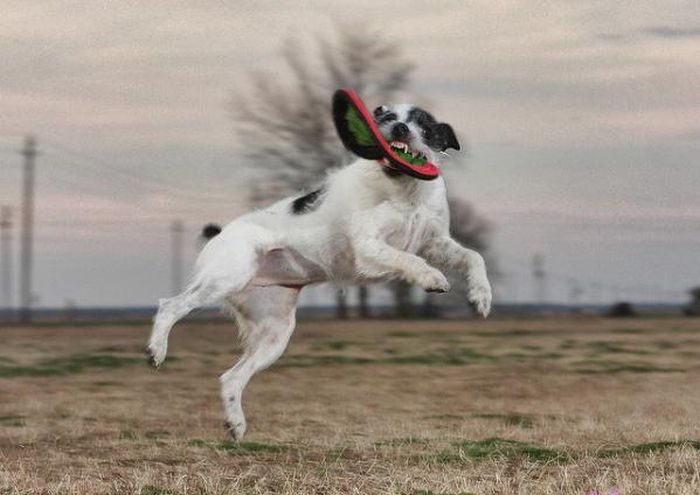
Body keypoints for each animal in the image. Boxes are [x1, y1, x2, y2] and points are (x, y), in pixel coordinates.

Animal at [146, 101, 492, 442]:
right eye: (389, 116)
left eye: (424, 125)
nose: (400, 128)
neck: (405, 189)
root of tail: (219, 233)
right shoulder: (369, 246)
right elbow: (411, 261)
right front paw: (433, 279)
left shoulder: (435, 243)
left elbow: (474, 257)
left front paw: (481, 296)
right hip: (225, 278)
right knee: (170, 305)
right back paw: (156, 351)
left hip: (275, 332)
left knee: (230, 377)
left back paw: (236, 424)